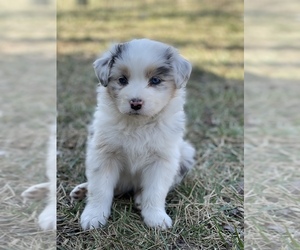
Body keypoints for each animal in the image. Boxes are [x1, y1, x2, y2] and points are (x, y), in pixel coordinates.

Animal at [72, 39, 196, 230]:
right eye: (122, 80)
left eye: (155, 80)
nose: (135, 103)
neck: (138, 124)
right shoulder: (103, 153)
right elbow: (100, 188)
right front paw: (94, 216)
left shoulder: (163, 159)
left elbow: (156, 190)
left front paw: (156, 217)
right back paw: (83, 190)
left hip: (186, 153)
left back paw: (139, 199)